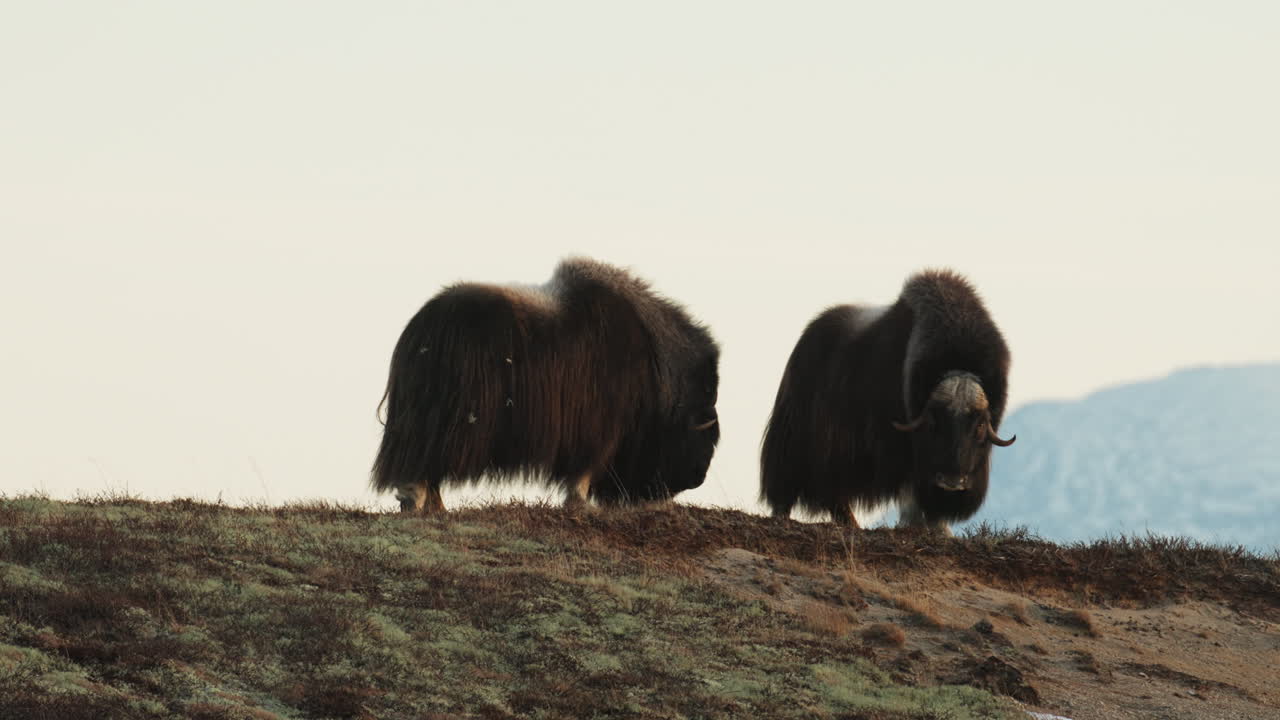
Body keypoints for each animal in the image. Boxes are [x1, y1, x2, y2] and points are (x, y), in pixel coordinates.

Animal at [372, 257, 721, 514]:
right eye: (703, 408)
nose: (698, 477)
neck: (656, 364)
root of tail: (422, 329)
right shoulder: (600, 429)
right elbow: (584, 470)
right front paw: (580, 505)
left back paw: (436, 507)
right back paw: (416, 501)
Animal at [759, 269, 1015, 533]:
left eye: (980, 425)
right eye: (933, 422)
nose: (952, 481)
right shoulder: (899, 448)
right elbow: (910, 487)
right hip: (797, 437)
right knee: (791, 480)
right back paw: (782, 516)